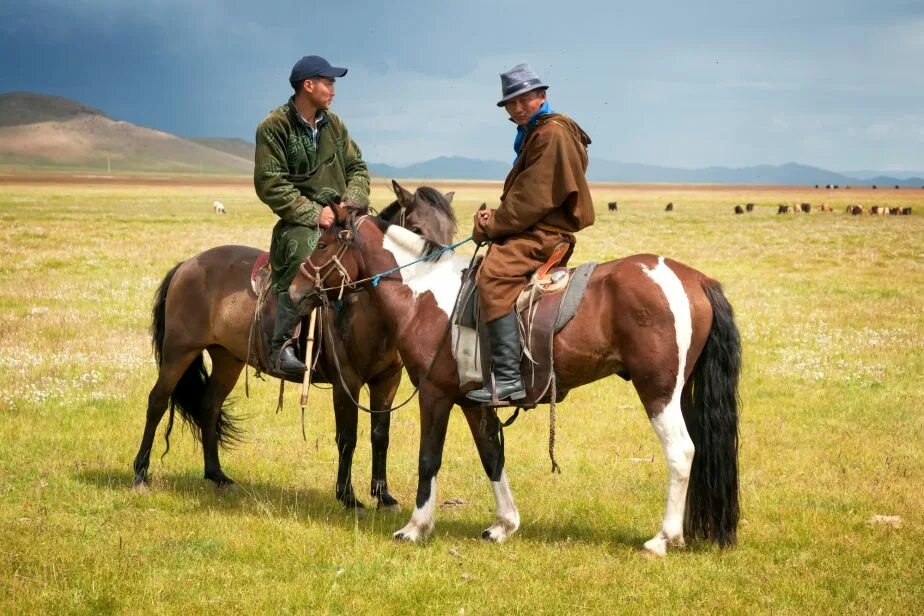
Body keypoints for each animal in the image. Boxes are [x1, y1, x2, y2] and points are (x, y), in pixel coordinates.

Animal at [131, 182, 458, 510]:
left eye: (452, 232)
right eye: (416, 230)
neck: (366, 309)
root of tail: (186, 265)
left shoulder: (387, 380)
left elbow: (380, 434)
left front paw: (384, 495)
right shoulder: (346, 382)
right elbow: (347, 437)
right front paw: (347, 496)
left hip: (227, 359)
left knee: (209, 406)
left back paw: (218, 475)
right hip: (179, 352)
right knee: (157, 401)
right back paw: (140, 474)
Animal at [290, 205, 744, 556]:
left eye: (323, 245)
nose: (294, 291)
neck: (424, 297)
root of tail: (694, 279)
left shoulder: (435, 395)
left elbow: (428, 459)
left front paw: (415, 528)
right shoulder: (472, 402)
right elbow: (492, 456)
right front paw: (503, 524)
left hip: (659, 392)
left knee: (681, 452)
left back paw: (664, 539)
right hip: (681, 393)